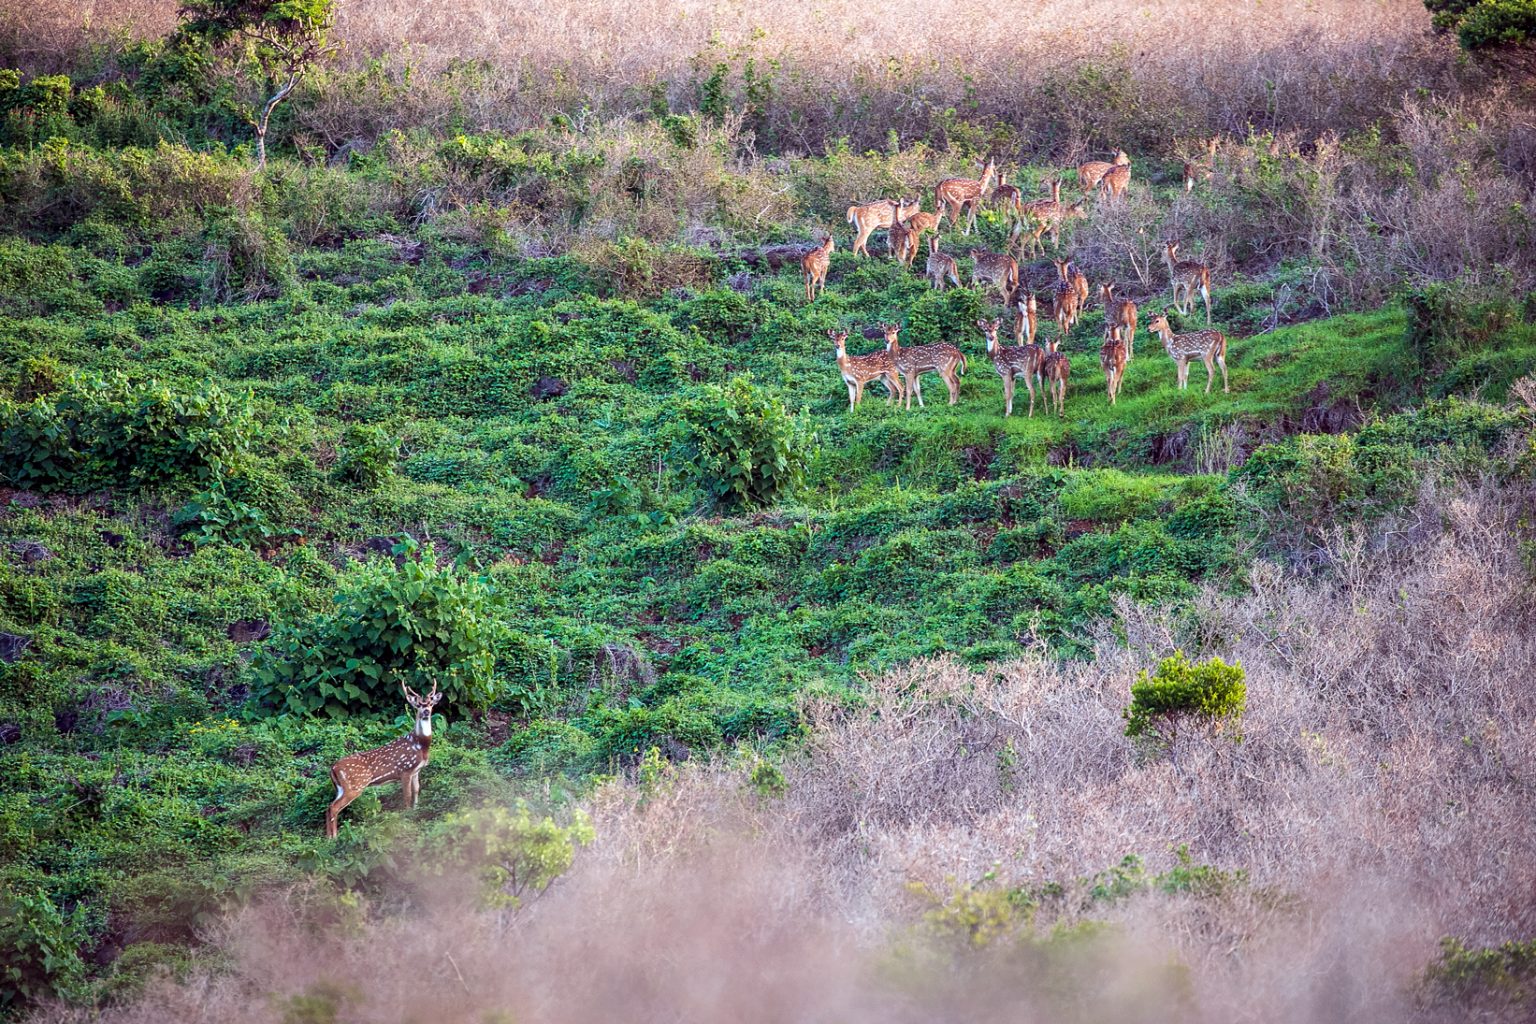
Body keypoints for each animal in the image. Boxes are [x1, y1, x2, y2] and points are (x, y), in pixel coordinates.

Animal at [326, 680, 442, 839]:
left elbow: (417, 790)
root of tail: (333, 769)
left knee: (329, 806)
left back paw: (330, 838)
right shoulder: (405, 770)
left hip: (340, 788)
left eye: (431, 703)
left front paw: (416, 810)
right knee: (334, 807)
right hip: (354, 786)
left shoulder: (416, 770)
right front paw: (407, 816)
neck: (420, 745)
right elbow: (407, 795)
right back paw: (333, 838)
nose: (426, 711)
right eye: (418, 704)